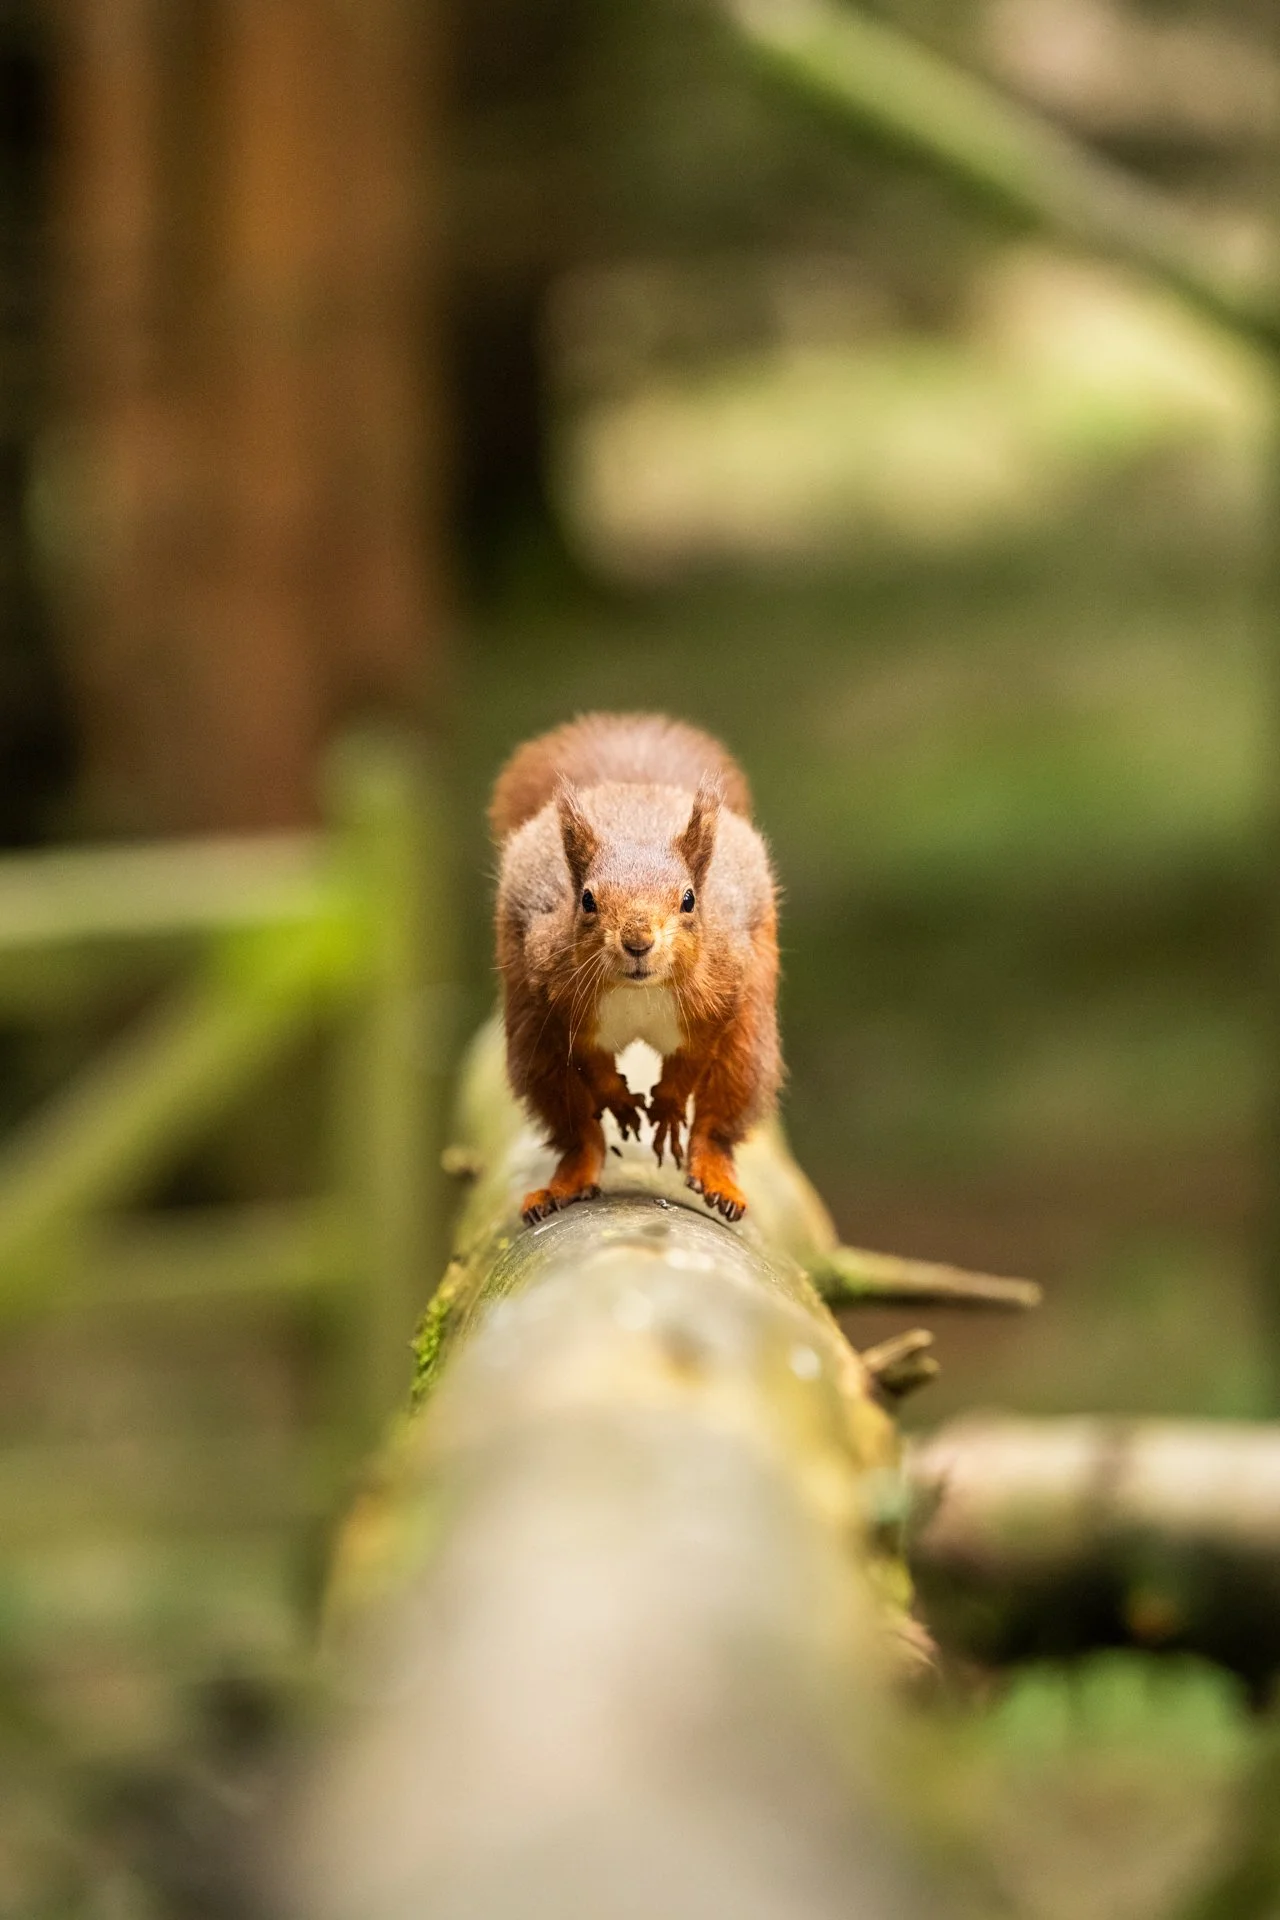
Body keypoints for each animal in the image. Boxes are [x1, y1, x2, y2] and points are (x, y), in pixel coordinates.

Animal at [491, 712, 781, 1227]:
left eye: (689, 899)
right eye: (587, 899)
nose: (638, 942)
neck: (638, 990)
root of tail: (636, 783)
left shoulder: (725, 985)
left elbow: (696, 1055)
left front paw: (667, 1104)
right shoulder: (552, 990)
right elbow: (587, 1060)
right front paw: (620, 1099)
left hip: (750, 1041)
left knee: (722, 1111)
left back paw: (715, 1173)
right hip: (534, 1047)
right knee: (576, 1127)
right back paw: (569, 1178)